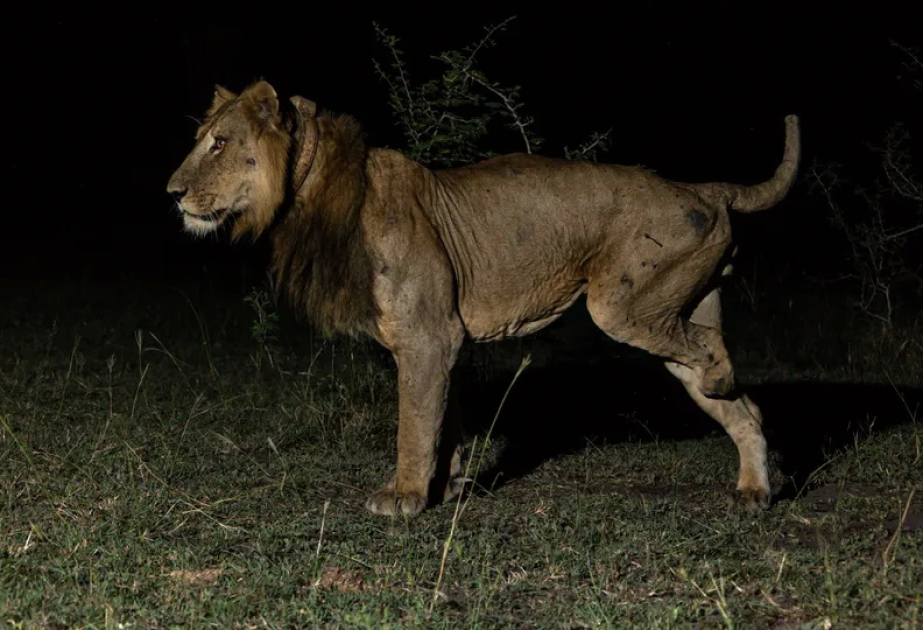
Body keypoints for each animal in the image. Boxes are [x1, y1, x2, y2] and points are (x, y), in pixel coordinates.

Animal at [167, 81, 800, 516]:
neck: (313, 193)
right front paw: (445, 486)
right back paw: (753, 490)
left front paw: (403, 496)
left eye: (219, 144)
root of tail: (701, 187)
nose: (171, 193)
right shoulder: (441, 341)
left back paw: (723, 382)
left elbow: (414, 423)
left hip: (623, 305)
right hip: (674, 308)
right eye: (202, 141)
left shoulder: (429, 337)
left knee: (712, 355)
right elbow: (442, 419)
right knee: (744, 407)